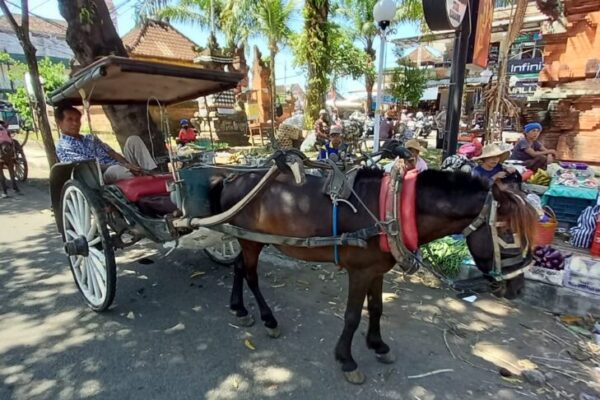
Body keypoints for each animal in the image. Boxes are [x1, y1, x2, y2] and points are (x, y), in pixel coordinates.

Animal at [210, 166, 536, 384]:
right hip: (251, 241)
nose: (519, 289)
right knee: (251, 275)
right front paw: (347, 361)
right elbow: (353, 316)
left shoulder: (376, 271)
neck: (392, 210)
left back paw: (239, 309)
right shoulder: (359, 272)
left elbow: (377, 308)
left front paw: (378, 345)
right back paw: (268, 319)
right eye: (507, 232)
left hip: (249, 239)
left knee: (239, 267)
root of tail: (231, 178)